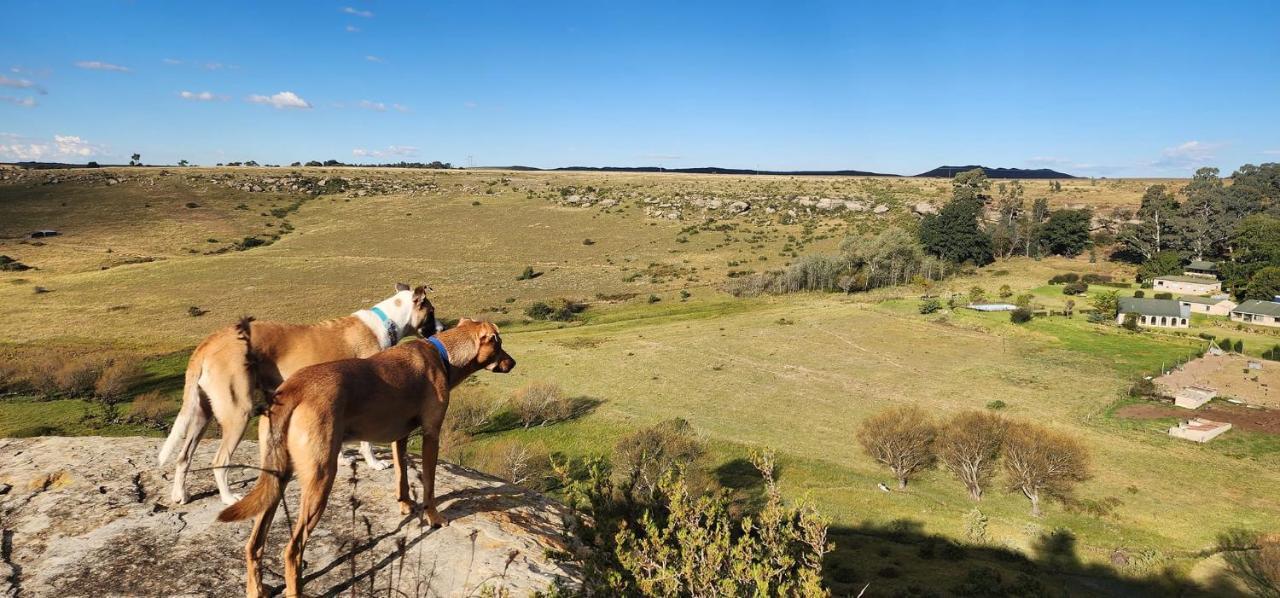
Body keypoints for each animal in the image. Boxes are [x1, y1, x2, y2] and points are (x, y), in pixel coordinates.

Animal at [156, 284, 440, 504]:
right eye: (431, 311)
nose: (440, 327)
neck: (386, 322)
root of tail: (209, 341)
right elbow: (366, 442)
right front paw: (373, 462)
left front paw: (343, 458)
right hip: (238, 411)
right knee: (219, 459)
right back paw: (227, 497)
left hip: (201, 413)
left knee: (184, 456)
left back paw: (180, 495)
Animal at [217, 318, 512, 598]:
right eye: (498, 344)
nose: (513, 362)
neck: (443, 355)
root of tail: (291, 390)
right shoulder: (431, 435)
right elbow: (429, 485)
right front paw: (434, 517)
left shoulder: (399, 435)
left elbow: (401, 476)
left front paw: (405, 504)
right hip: (320, 477)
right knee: (293, 549)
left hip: (276, 477)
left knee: (254, 544)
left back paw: (256, 589)